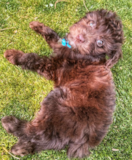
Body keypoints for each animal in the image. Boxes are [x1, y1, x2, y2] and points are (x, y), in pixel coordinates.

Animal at [2, 9, 123, 158]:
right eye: (91, 23)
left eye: (100, 42)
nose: (80, 38)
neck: (82, 52)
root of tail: (87, 139)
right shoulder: (60, 45)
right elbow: (53, 36)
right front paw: (37, 25)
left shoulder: (52, 67)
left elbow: (33, 58)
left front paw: (14, 55)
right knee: (48, 139)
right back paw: (21, 148)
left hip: (58, 105)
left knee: (39, 132)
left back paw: (11, 124)